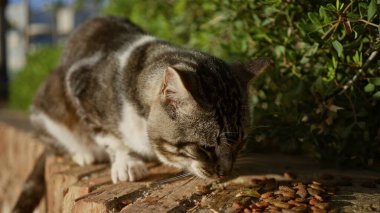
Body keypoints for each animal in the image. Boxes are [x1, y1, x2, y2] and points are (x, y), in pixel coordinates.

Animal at [11, 16, 270, 211]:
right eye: (205, 147)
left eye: (240, 143)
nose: (225, 172)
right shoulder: (79, 85)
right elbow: (109, 136)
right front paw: (126, 162)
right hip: (49, 104)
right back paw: (83, 152)